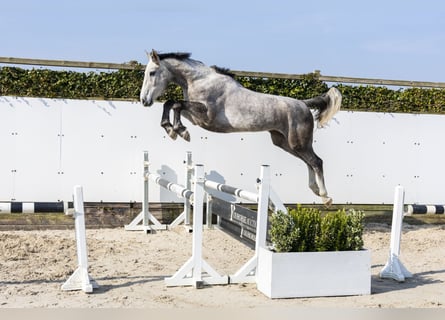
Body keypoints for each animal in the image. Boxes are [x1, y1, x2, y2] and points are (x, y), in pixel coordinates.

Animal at [139, 50, 340, 205]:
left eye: (152, 73)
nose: (144, 101)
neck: (198, 80)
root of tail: (304, 104)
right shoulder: (196, 118)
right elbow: (172, 103)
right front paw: (173, 130)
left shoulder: (206, 115)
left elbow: (176, 104)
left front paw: (179, 131)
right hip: (285, 143)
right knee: (308, 162)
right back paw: (315, 190)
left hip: (298, 142)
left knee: (316, 161)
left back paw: (325, 197)